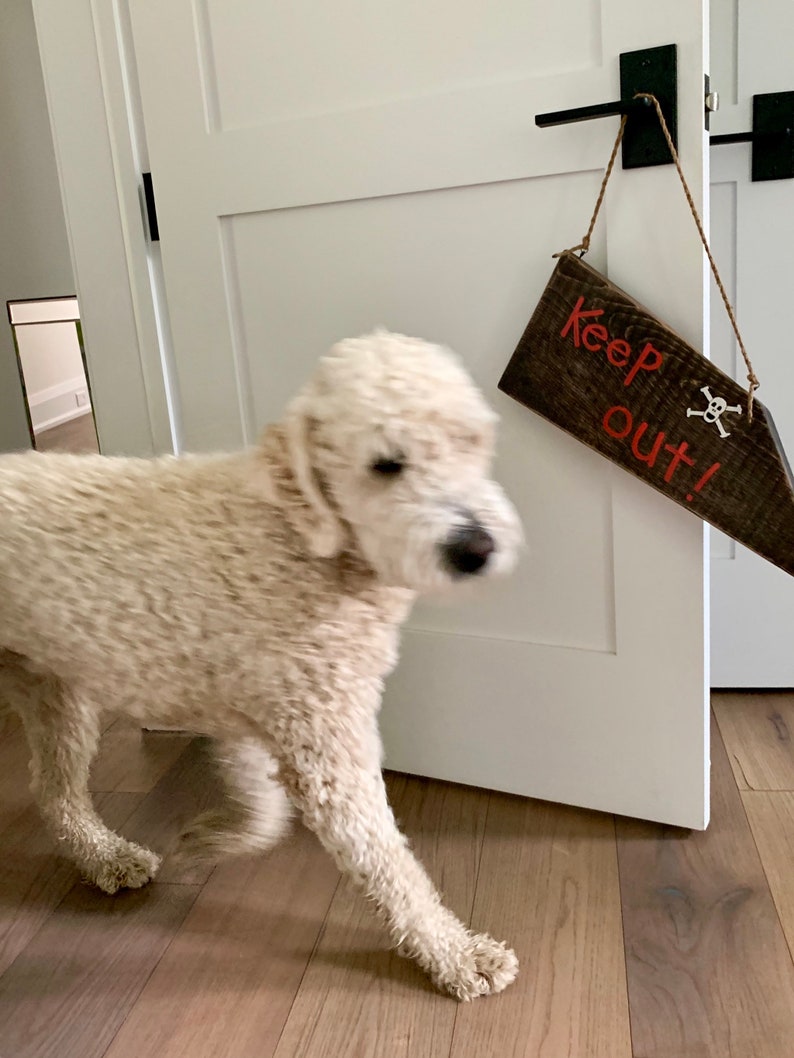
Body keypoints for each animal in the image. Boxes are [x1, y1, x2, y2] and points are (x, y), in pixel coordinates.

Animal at [1, 330, 529, 998]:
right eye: (386, 465)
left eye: (472, 440)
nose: (476, 547)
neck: (298, 532)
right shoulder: (326, 751)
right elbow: (387, 863)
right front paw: (457, 954)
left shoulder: (263, 711)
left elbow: (265, 808)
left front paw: (215, 837)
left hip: (51, 692)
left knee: (55, 790)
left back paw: (106, 857)